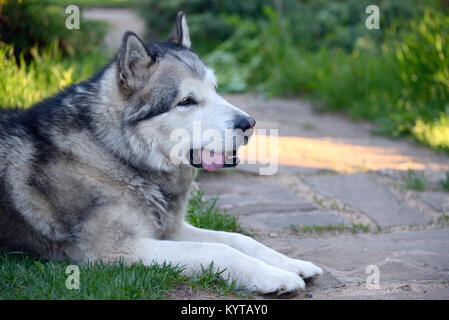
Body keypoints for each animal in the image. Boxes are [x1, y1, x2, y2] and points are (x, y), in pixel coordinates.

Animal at [0, 11, 322, 292]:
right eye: (187, 101)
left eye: (216, 89)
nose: (249, 124)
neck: (116, 154)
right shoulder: (116, 251)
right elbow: (218, 249)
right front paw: (274, 276)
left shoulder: (170, 230)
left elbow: (238, 239)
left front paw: (291, 263)